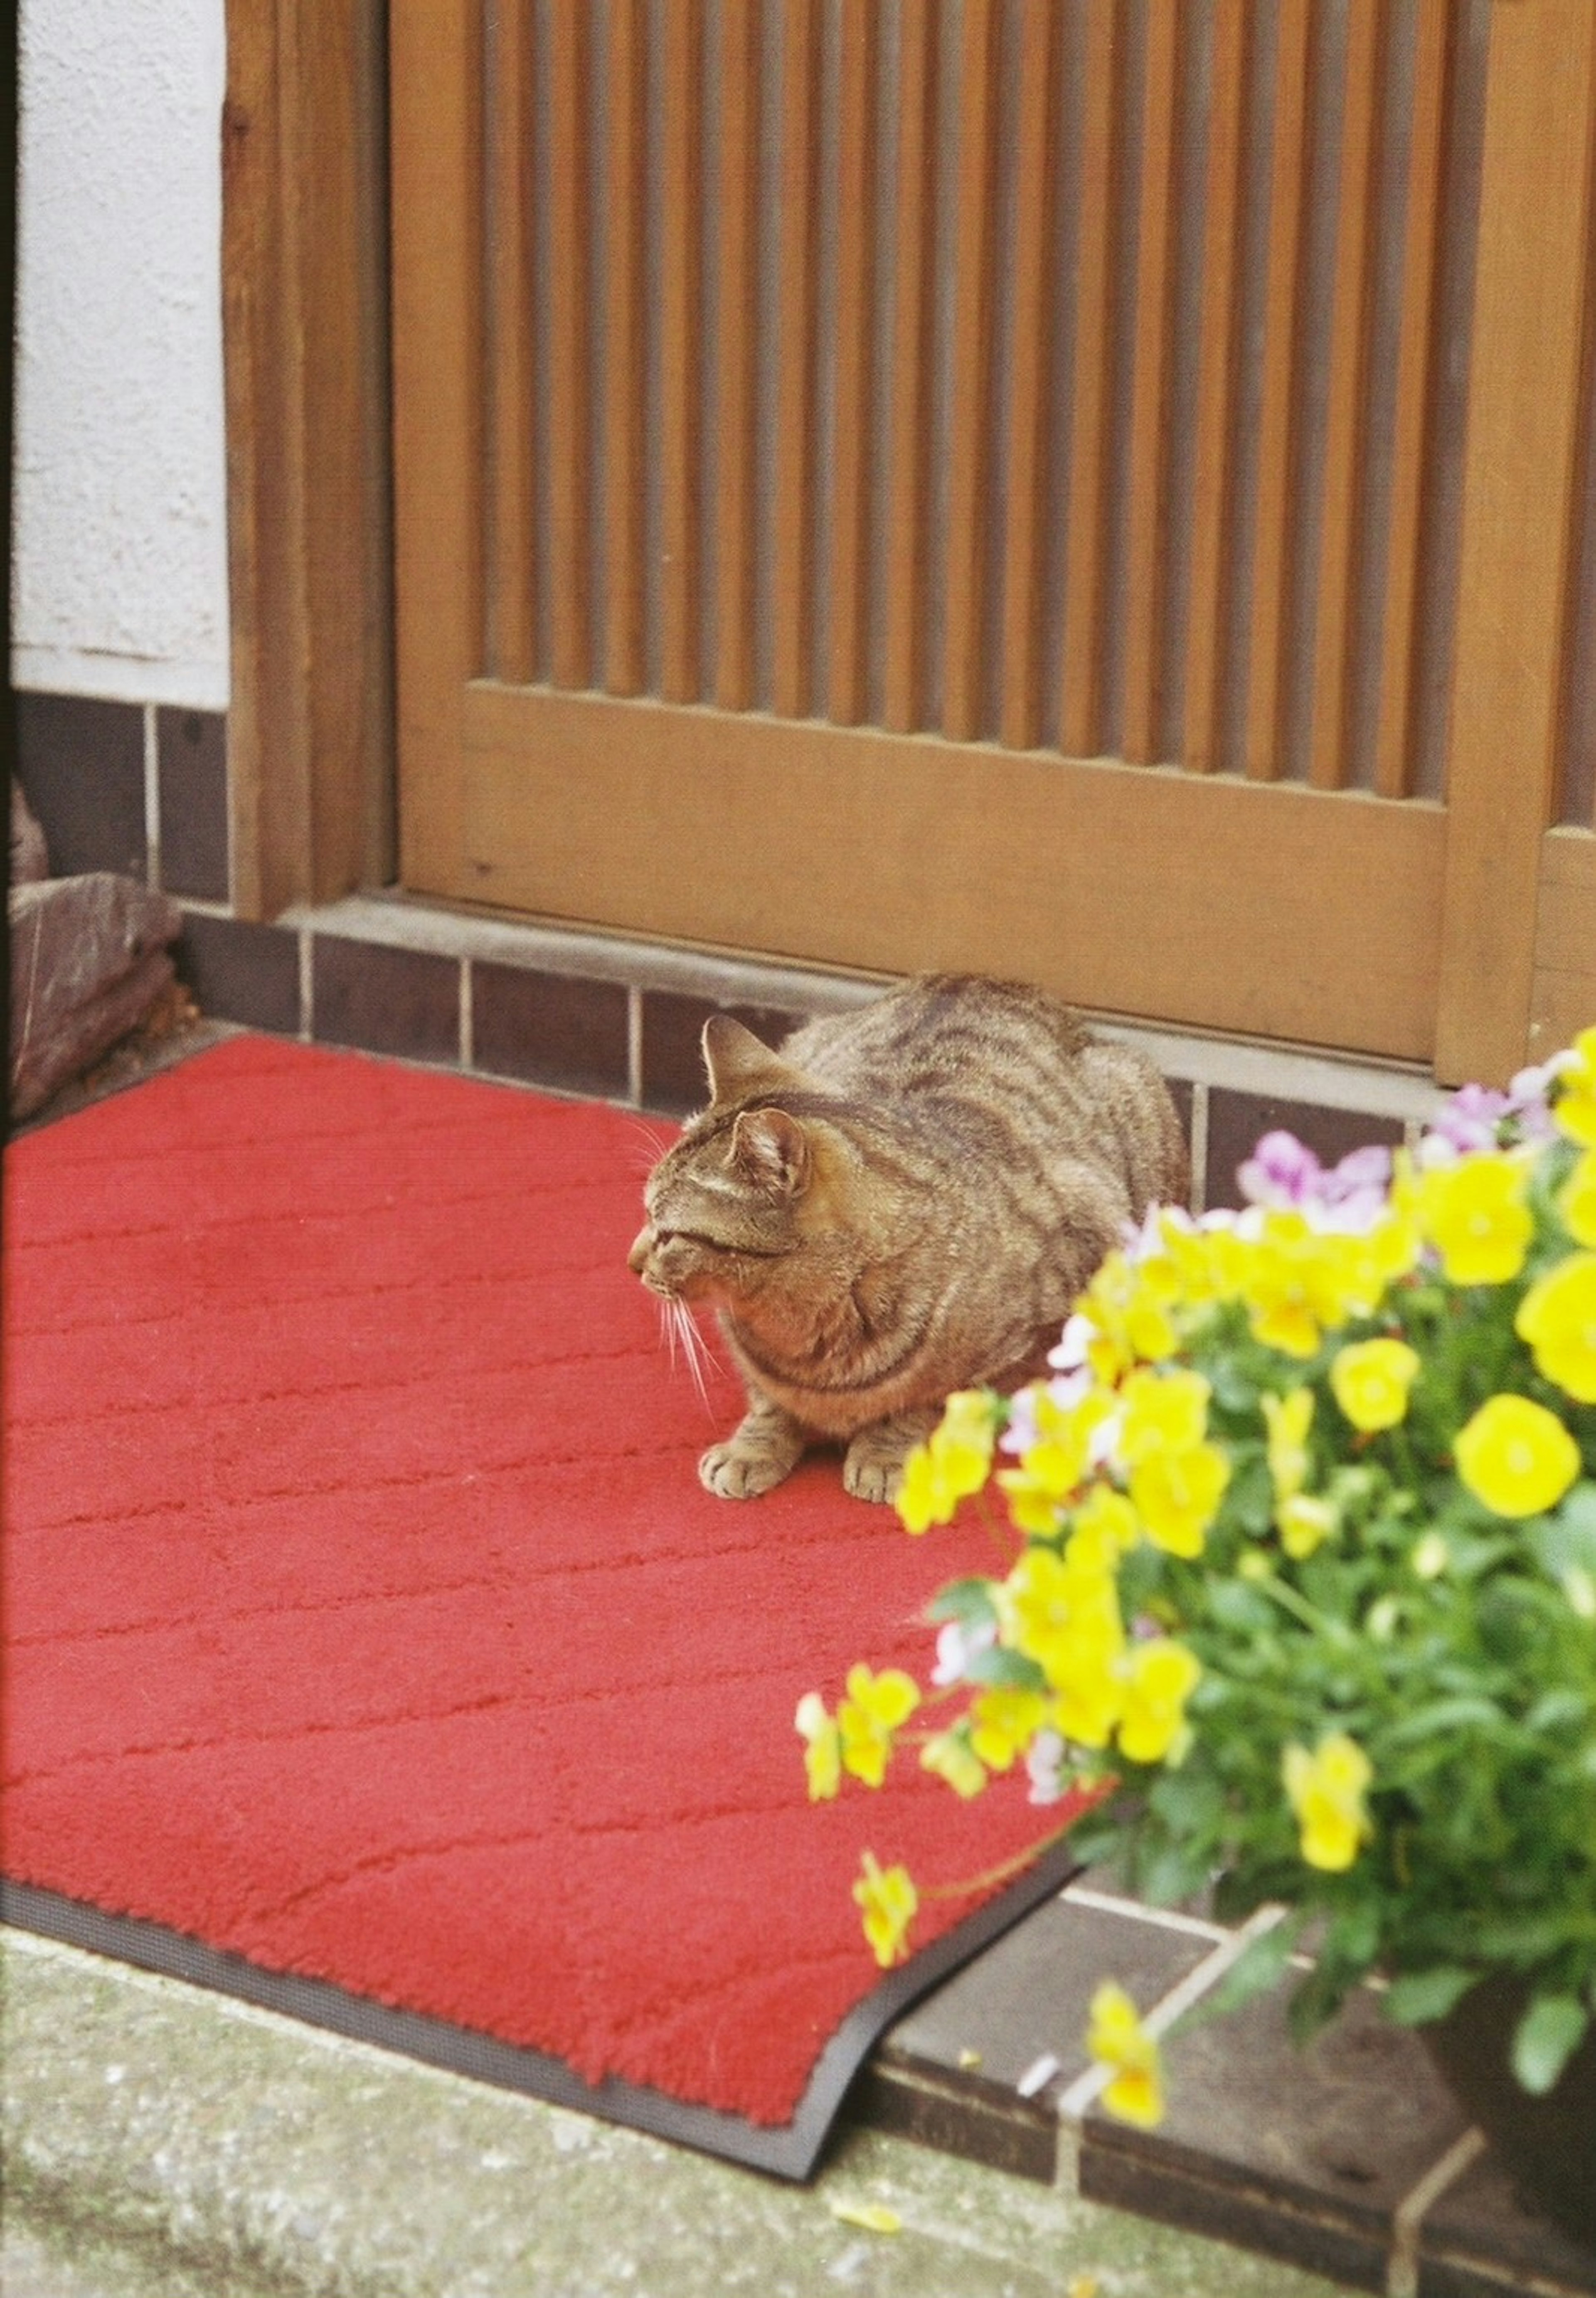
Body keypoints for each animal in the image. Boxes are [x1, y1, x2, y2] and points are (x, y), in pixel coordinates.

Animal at [629, 974, 1194, 1498]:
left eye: (668, 1233)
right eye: (646, 1211)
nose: (632, 1263)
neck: (801, 1331)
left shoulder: (1035, 1330)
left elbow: (927, 1401)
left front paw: (887, 1453)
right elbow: (768, 1401)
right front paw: (752, 1449)